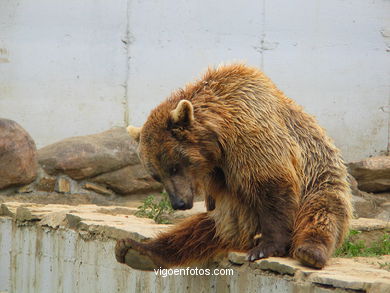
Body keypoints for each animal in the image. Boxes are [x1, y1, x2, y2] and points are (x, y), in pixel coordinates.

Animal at [114, 64, 352, 270]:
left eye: (174, 167)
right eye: (156, 175)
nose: (178, 203)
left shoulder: (252, 137)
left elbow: (273, 185)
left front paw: (266, 247)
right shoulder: (217, 171)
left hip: (321, 181)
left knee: (322, 212)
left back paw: (310, 252)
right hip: (239, 218)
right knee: (200, 230)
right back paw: (137, 250)